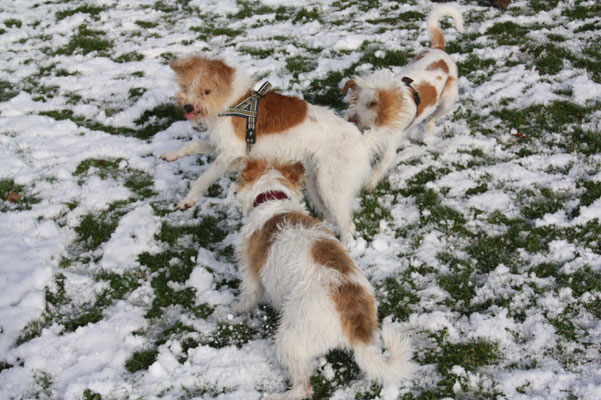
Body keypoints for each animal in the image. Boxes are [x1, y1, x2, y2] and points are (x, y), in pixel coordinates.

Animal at [233, 159, 412, 400]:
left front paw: (236, 309)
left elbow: (248, 294)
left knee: (303, 387)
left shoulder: (251, 270)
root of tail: (356, 325)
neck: (273, 199)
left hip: (289, 338)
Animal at [342, 4, 464, 191]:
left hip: (447, 102)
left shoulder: (390, 144)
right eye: (355, 100)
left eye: (373, 104)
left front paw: (369, 184)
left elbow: (382, 163)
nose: (352, 120)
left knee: (432, 119)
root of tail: (438, 48)